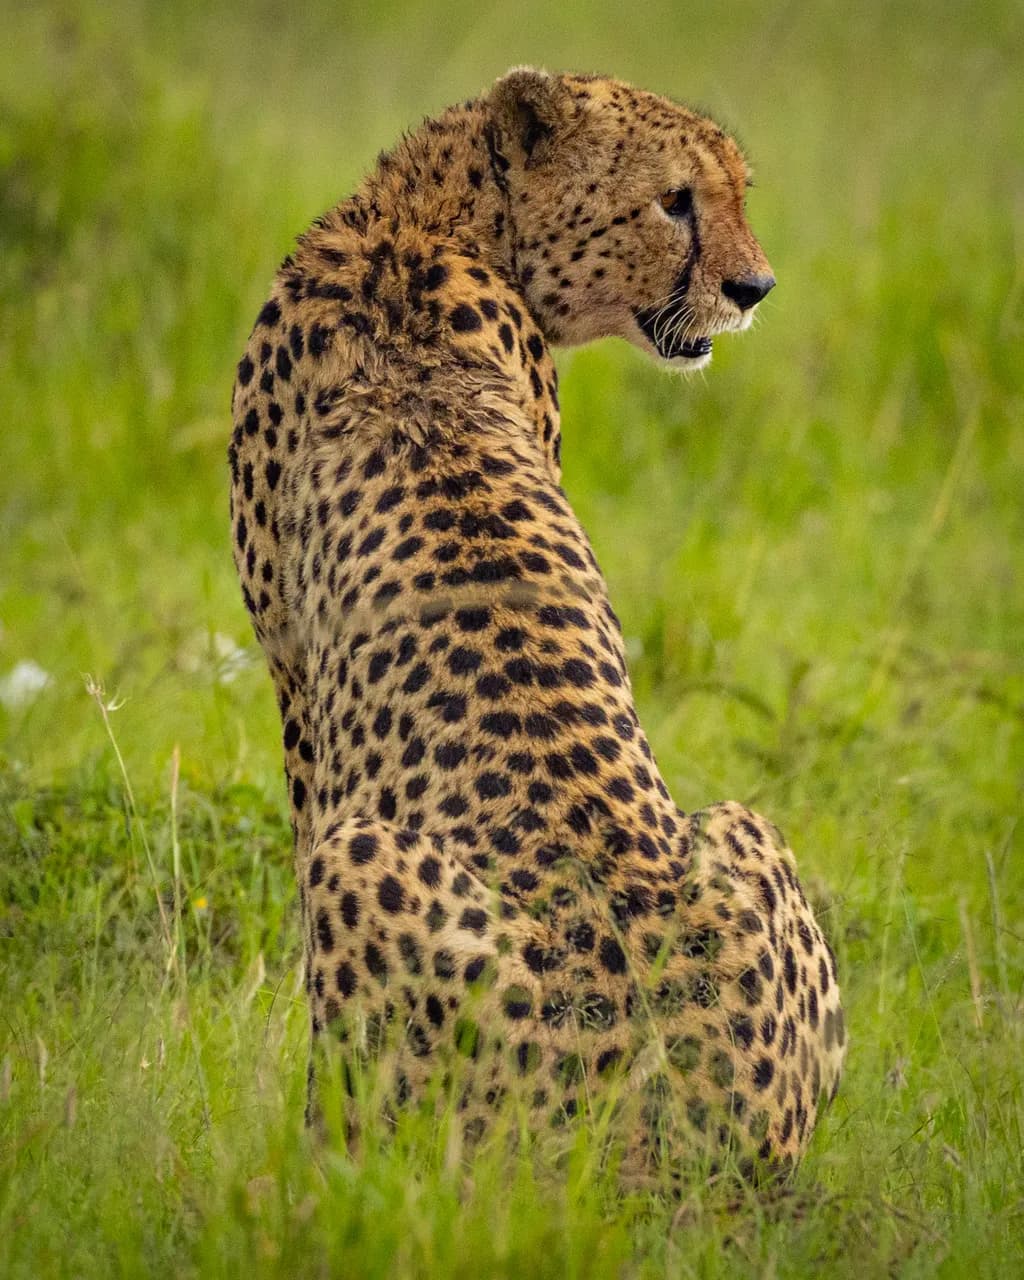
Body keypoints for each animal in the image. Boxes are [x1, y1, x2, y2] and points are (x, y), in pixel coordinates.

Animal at [228, 66, 846, 1182]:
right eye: (674, 201)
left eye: (731, 192)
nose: (755, 289)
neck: (425, 218)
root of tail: (689, 1139)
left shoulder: (294, 685)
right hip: (745, 826)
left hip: (371, 880)